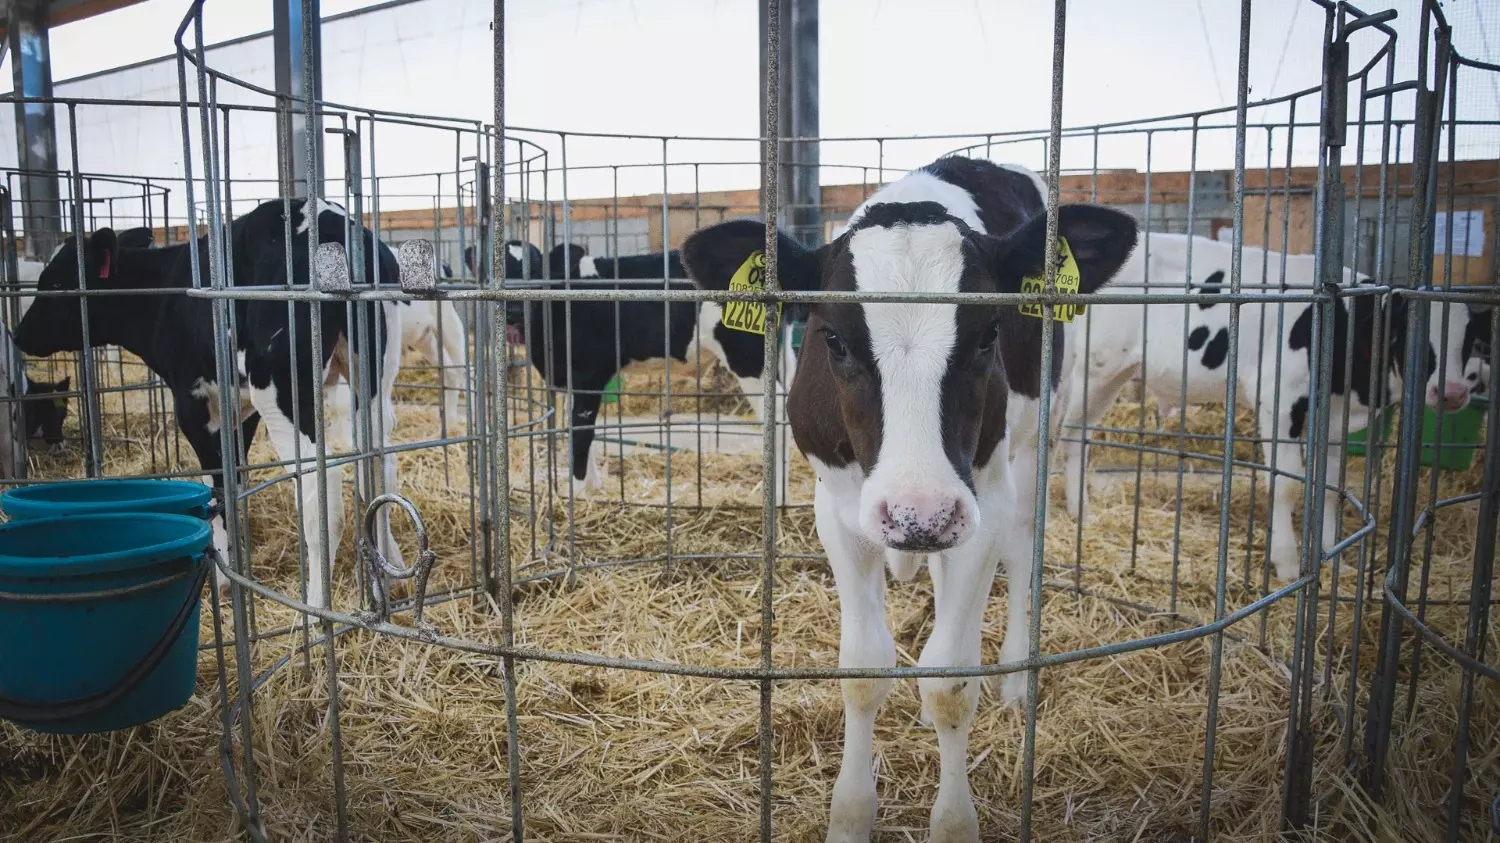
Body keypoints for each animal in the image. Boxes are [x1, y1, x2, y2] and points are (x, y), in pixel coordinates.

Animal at [10, 198, 405, 606]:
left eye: (57, 284)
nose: (18, 334)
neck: (163, 294)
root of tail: (332, 222)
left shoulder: (192, 402)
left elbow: (216, 484)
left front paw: (222, 573)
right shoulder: (238, 405)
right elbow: (234, 477)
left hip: (280, 394)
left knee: (321, 490)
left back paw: (313, 606)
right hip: (373, 377)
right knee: (379, 461)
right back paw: (390, 572)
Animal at [681, 154, 1134, 834]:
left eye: (989, 332)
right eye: (833, 338)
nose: (921, 513)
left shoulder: (982, 501)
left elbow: (950, 683)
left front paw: (954, 824)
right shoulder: (839, 511)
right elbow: (865, 669)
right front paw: (850, 817)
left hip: (1030, 445)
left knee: (1020, 549)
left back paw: (1016, 680)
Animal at [1062, 232, 1494, 582]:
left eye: (1472, 339)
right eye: (1408, 334)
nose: (1452, 391)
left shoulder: (1333, 421)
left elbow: (1331, 488)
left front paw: (1333, 558)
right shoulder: (1280, 400)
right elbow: (1286, 484)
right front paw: (1286, 563)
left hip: (1113, 376)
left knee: (1079, 436)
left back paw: (1080, 511)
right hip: (1092, 368)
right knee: (1066, 431)